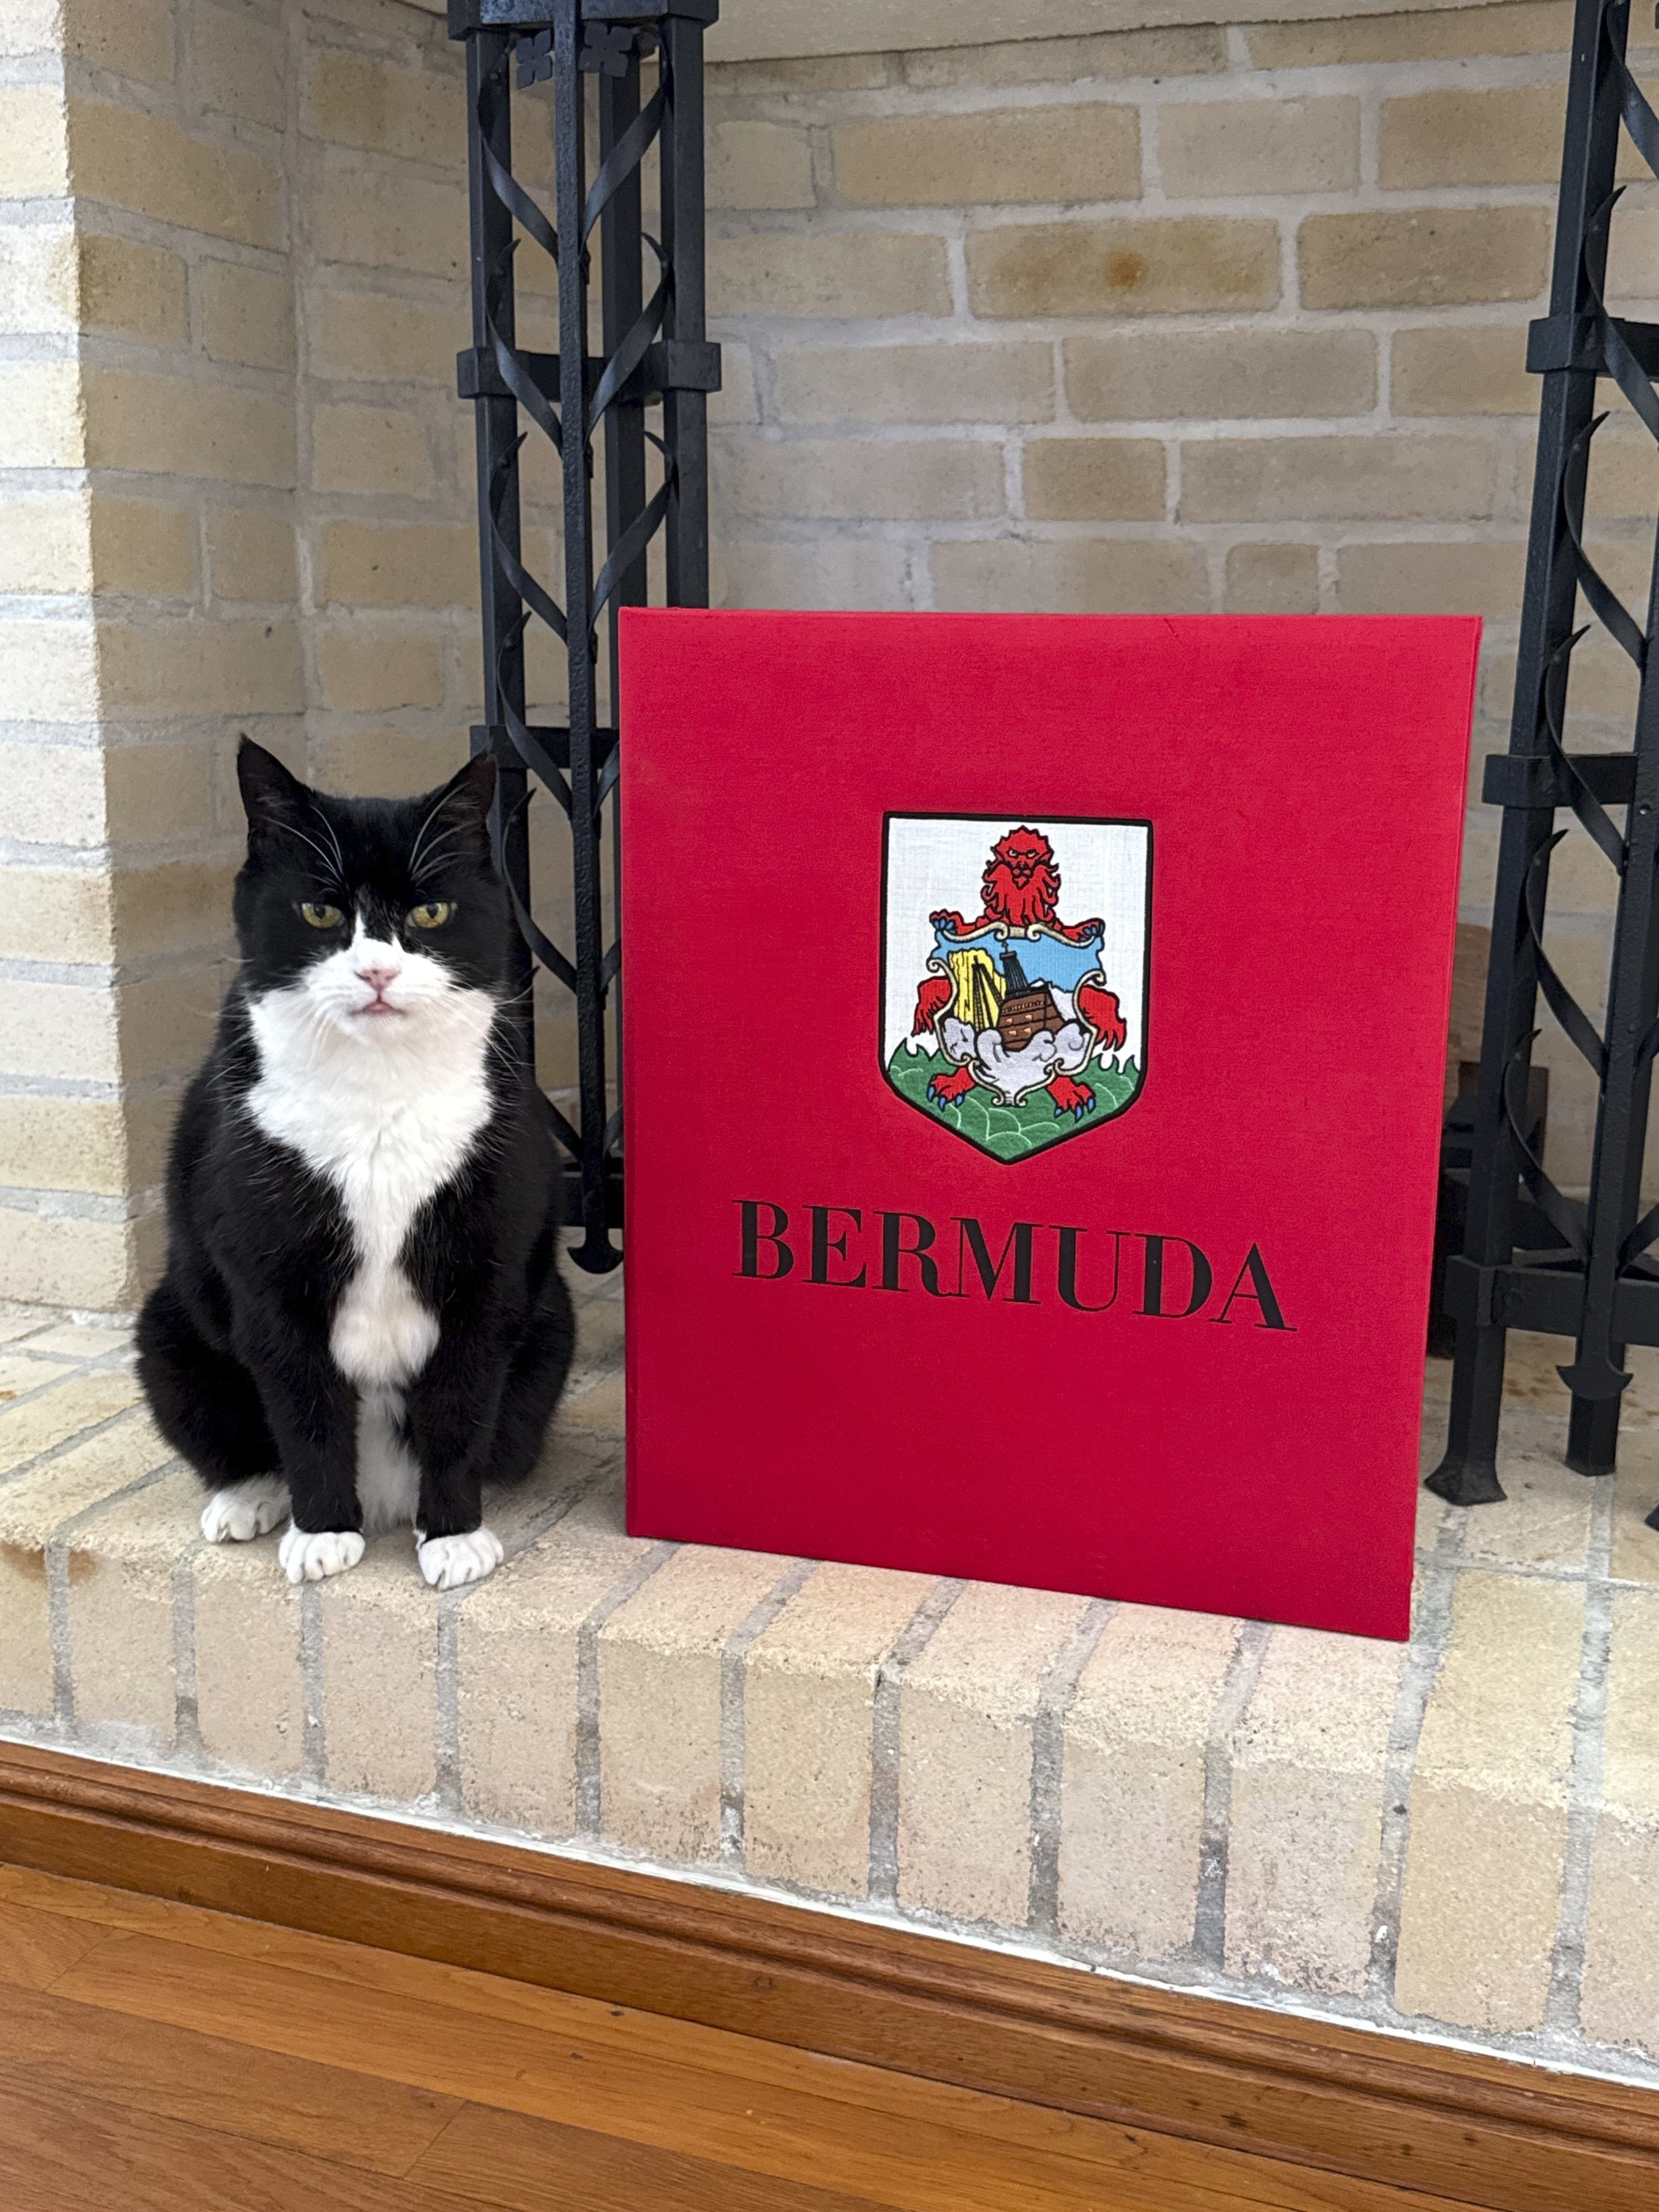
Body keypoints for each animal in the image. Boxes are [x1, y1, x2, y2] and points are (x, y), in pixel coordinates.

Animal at [138, 743, 579, 1593]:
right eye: (320, 913)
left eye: (430, 915)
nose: (377, 973)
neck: (378, 1094)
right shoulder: (267, 1280)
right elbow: (304, 1407)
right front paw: (321, 1532)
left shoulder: (489, 1273)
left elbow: (459, 1406)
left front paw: (453, 1535)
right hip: (166, 1329)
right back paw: (248, 1501)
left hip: (551, 1332)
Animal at [911, 827, 1132, 1124]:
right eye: (1014, 853)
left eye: (1031, 854)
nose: (1022, 867)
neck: (1017, 916)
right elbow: (932, 985)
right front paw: (947, 921)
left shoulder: (1055, 928)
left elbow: (1100, 995)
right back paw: (953, 1082)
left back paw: (1069, 1091)